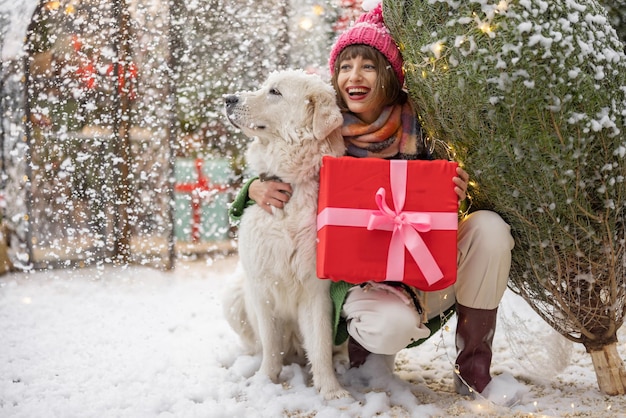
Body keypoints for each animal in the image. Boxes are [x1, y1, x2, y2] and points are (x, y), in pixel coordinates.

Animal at [221, 70, 348, 400]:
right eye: (265, 86)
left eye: (275, 92)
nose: (228, 98)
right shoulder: (262, 286)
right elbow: (271, 343)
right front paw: (265, 381)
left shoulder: (316, 291)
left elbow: (320, 345)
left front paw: (331, 390)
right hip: (234, 294)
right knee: (257, 344)